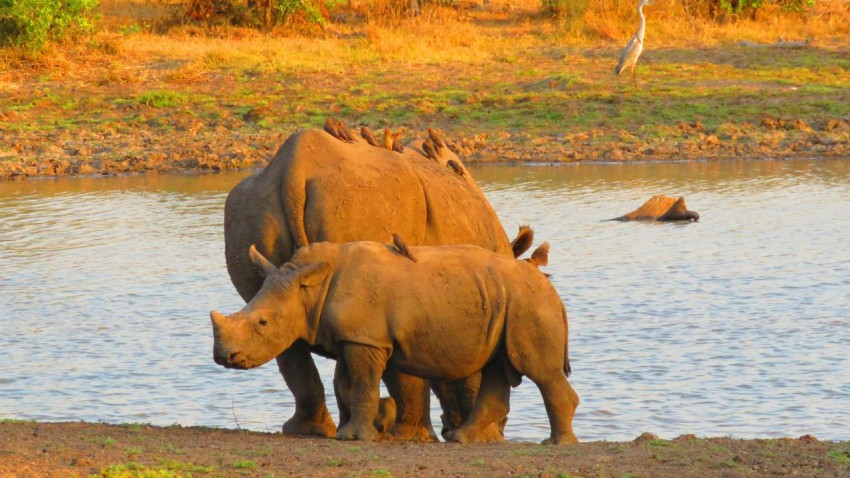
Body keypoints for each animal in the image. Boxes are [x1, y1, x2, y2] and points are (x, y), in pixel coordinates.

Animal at [212, 241, 580, 446]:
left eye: (262, 323)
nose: (224, 357)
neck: (310, 289)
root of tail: (552, 290)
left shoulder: (365, 340)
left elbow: (362, 384)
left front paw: (356, 437)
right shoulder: (353, 337)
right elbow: (346, 385)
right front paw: (362, 426)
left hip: (529, 305)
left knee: (539, 372)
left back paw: (556, 443)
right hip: (507, 302)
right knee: (497, 367)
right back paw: (460, 439)